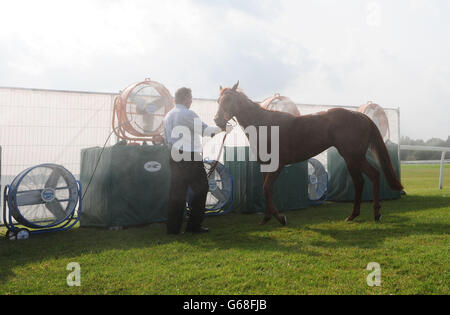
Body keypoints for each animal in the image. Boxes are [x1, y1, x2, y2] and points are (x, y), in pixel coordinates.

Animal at [214, 81, 404, 225]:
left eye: (229, 100)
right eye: (218, 100)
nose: (217, 120)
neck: (265, 124)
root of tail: (362, 117)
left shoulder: (278, 165)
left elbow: (267, 188)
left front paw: (280, 218)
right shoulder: (264, 165)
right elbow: (266, 190)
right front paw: (267, 218)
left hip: (352, 158)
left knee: (361, 181)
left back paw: (362, 214)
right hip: (356, 158)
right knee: (372, 176)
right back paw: (367, 214)